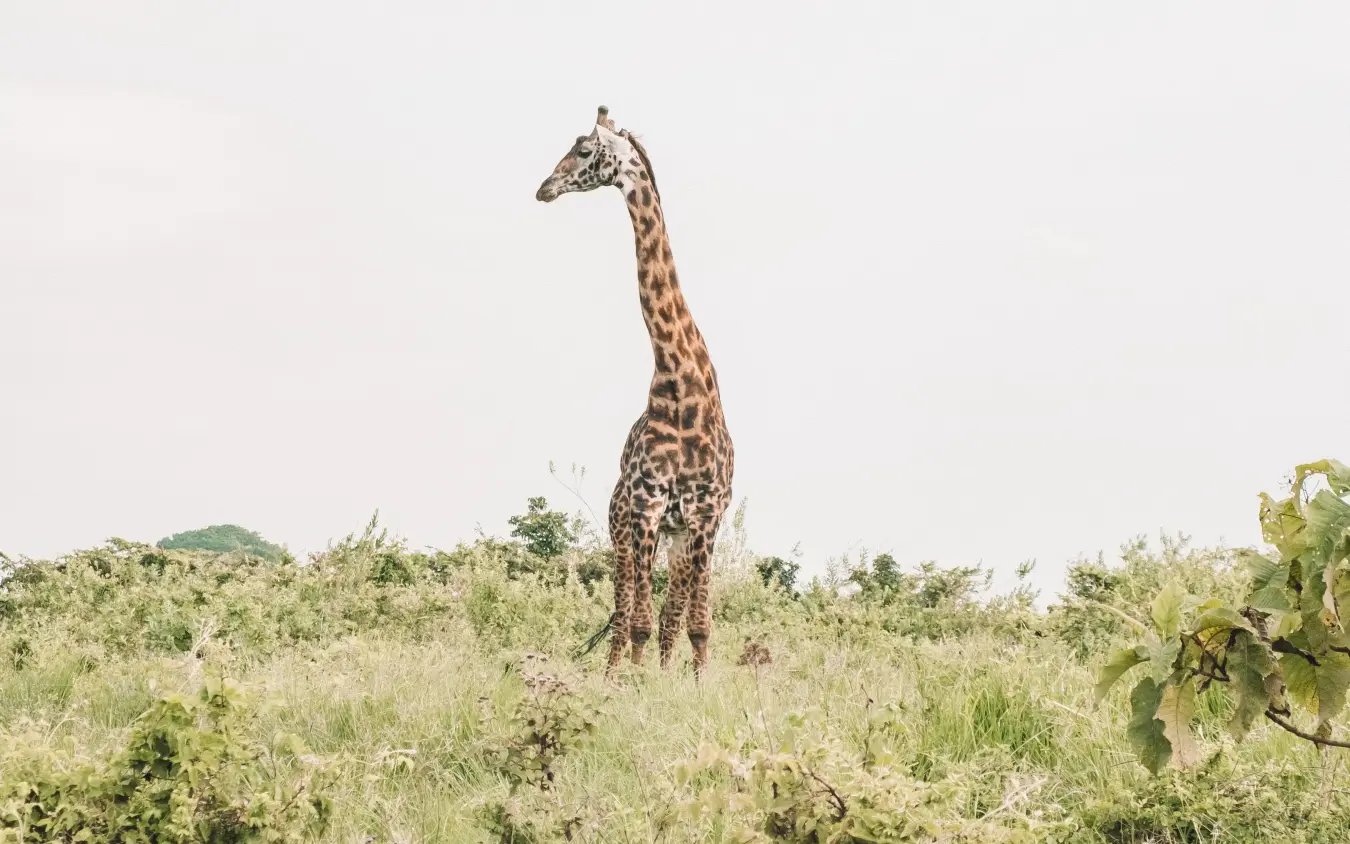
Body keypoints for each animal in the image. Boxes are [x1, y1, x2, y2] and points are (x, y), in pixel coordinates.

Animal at [536, 106, 734, 675]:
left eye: (583, 150)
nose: (543, 188)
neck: (680, 385)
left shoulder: (704, 515)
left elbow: (694, 624)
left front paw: (690, 685)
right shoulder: (645, 506)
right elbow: (642, 622)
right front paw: (632, 687)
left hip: (676, 534)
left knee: (664, 615)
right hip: (621, 526)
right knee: (625, 613)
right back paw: (613, 672)